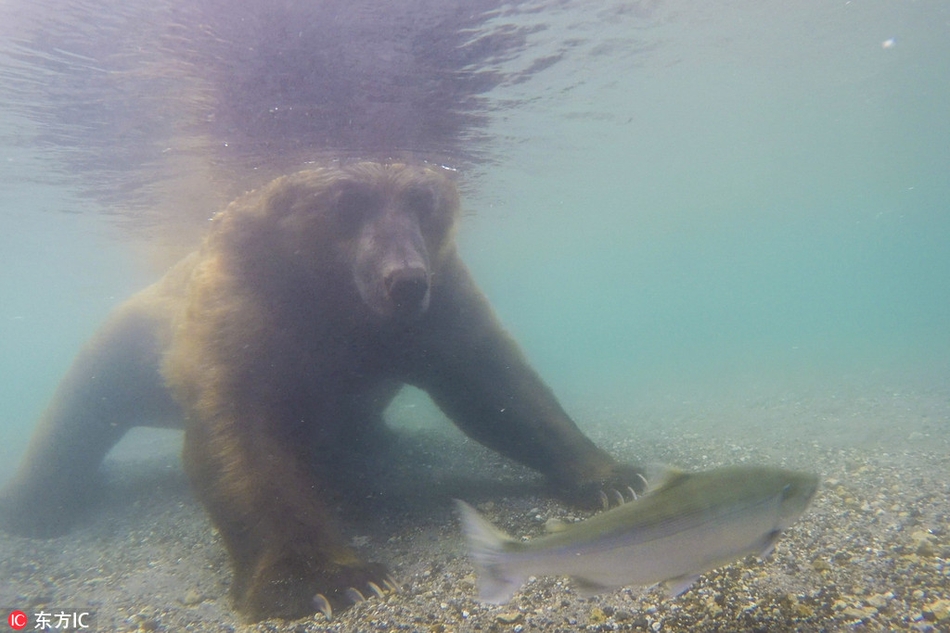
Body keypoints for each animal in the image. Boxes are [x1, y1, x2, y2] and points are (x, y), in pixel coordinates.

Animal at [0, 160, 648, 620]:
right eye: (347, 202)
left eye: (424, 201)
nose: (405, 280)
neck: (337, 308)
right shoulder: (244, 309)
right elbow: (241, 441)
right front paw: (332, 580)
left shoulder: (435, 311)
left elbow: (497, 388)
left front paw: (615, 479)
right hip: (129, 340)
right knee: (78, 411)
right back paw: (36, 506)